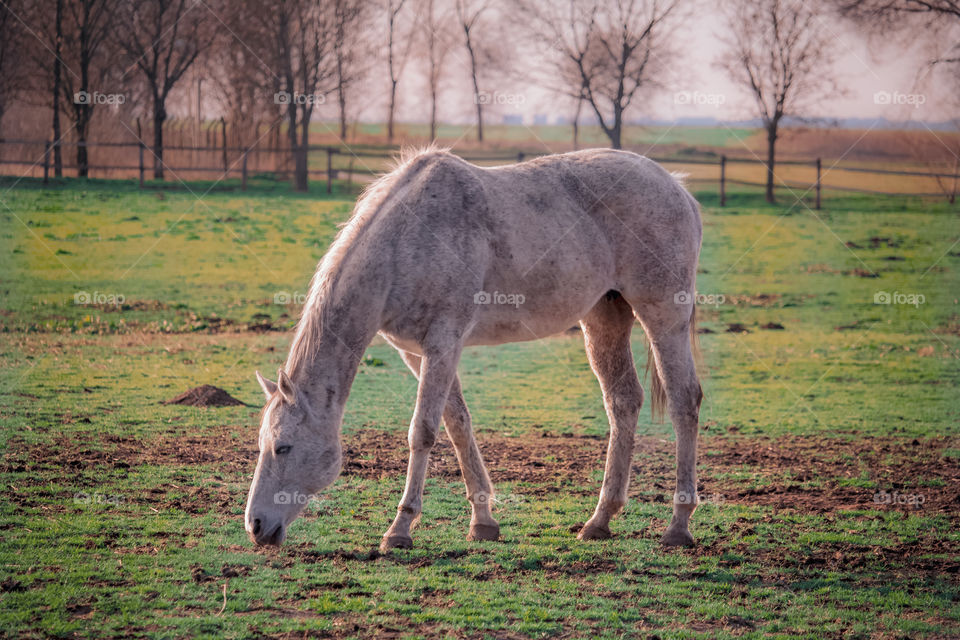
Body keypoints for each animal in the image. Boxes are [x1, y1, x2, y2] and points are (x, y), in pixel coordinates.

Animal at [244, 145, 700, 552]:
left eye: (283, 446)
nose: (255, 526)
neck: (405, 241)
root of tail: (677, 187)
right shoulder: (416, 352)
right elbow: (457, 425)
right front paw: (483, 521)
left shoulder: (444, 342)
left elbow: (423, 431)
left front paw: (400, 529)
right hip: (604, 318)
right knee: (622, 402)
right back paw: (599, 520)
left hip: (664, 318)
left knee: (685, 402)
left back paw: (678, 526)